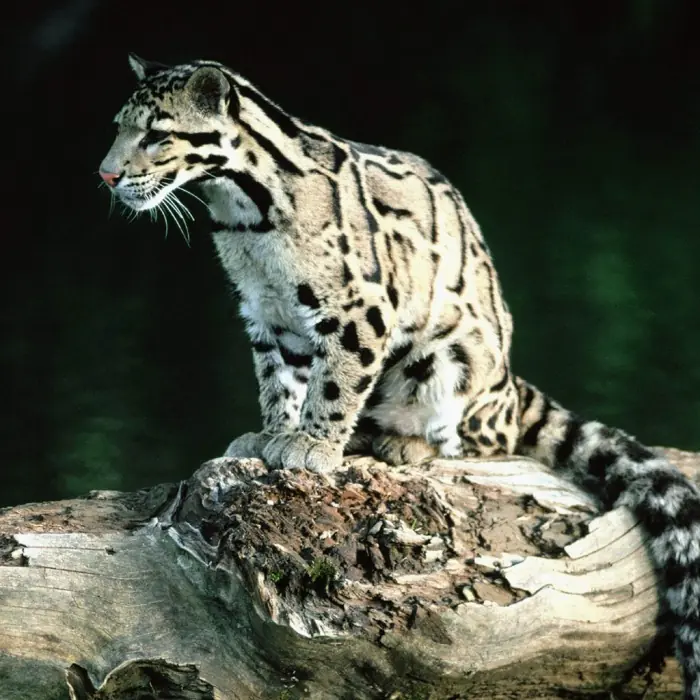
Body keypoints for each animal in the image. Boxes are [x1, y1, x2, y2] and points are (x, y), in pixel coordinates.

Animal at [99, 54, 700, 698]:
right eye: (118, 127)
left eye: (156, 135)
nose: (106, 175)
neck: (244, 216)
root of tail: (512, 388)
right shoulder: (265, 313)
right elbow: (278, 381)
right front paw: (272, 434)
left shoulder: (360, 307)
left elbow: (335, 383)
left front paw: (312, 445)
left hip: (447, 363)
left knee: (478, 441)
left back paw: (402, 442)